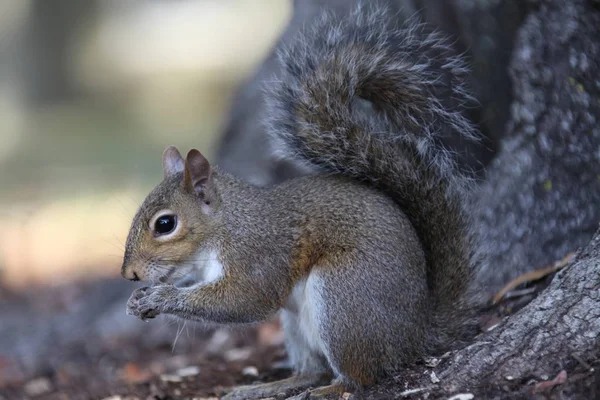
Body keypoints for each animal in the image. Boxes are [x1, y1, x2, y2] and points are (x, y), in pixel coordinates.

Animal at [123, 3, 482, 400]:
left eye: (165, 224)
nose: (129, 274)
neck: (226, 225)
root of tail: (415, 335)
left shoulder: (258, 255)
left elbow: (245, 300)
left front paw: (162, 297)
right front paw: (139, 299)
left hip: (344, 297)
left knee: (360, 377)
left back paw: (328, 390)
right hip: (296, 322)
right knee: (312, 370)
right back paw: (267, 387)